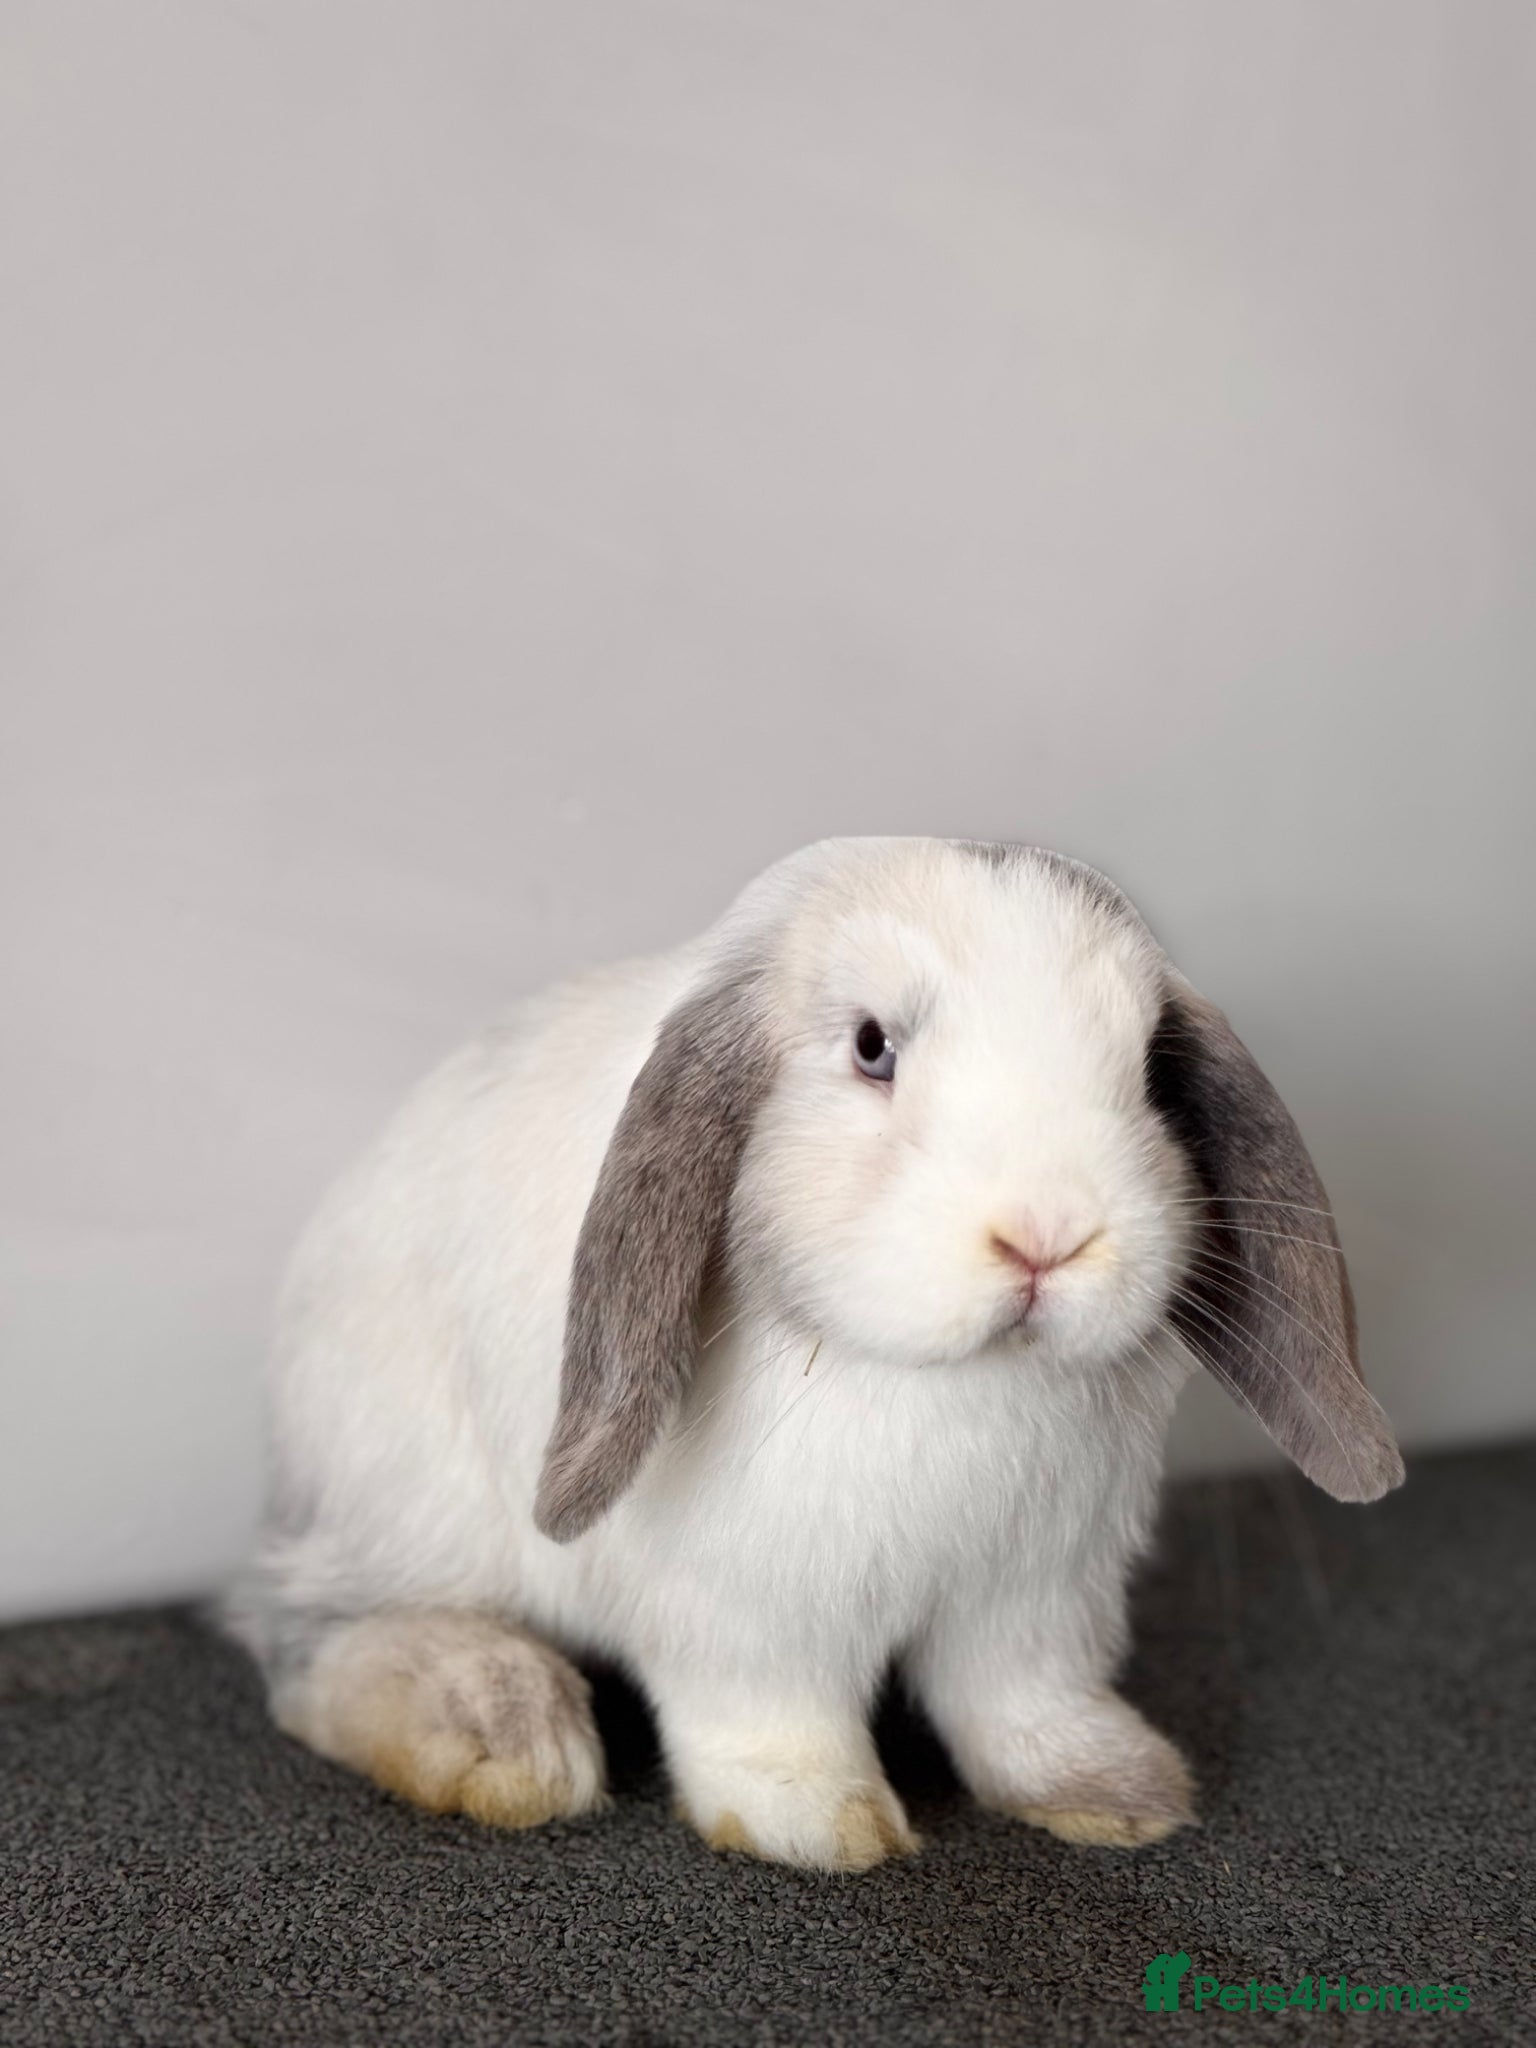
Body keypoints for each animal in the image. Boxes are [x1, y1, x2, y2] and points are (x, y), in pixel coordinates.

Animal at [222, 836, 1403, 1871]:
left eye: (1153, 1068)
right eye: (873, 1046)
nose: (1050, 1232)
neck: (949, 1384)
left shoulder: (1039, 1597)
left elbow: (1023, 1699)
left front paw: (1112, 1791)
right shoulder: (747, 1617)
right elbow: (772, 1719)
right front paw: (819, 1826)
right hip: (398, 1501)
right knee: (303, 1638)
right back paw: (496, 1728)